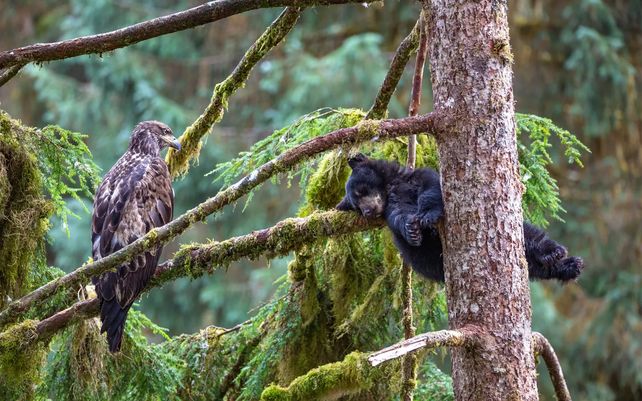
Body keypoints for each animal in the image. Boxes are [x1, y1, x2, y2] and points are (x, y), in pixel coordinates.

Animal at [336, 153, 584, 283]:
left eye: (361, 191)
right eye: (356, 207)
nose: (368, 212)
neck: (392, 187)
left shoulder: (415, 178)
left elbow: (431, 188)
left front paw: (427, 217)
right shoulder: (392, 207)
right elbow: (399, 216)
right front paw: (412, 230)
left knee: (530, 238)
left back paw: (557, 255)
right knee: (532, 265)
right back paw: (566, 267)